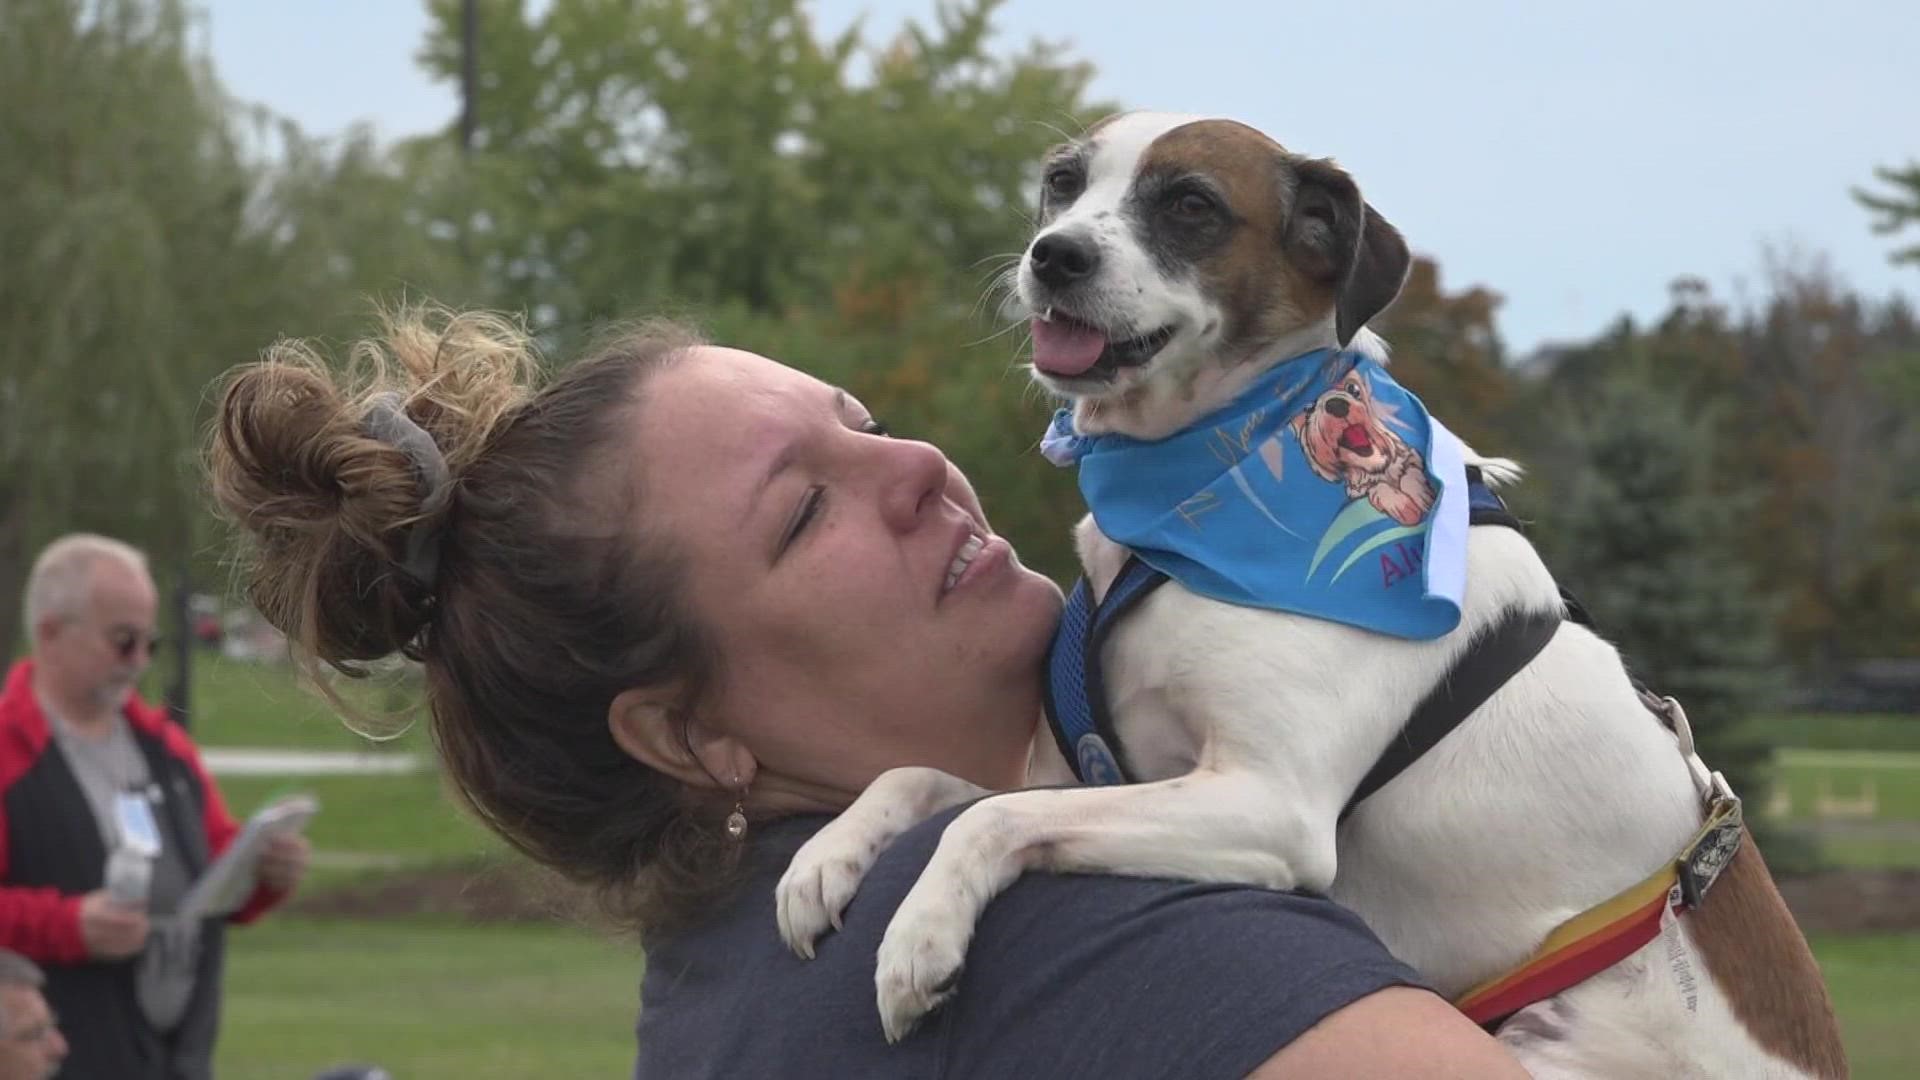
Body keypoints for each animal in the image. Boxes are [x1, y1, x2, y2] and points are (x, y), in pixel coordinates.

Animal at [775, 111, 1843, 1076]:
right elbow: (925, 778)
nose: (1053, 256)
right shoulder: (1106, 771)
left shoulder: (1271, 805)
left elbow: (987, 817)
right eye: (1062, 183)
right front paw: (828, 856)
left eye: (1191, 205)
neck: (1208, 483)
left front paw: (919, 936)